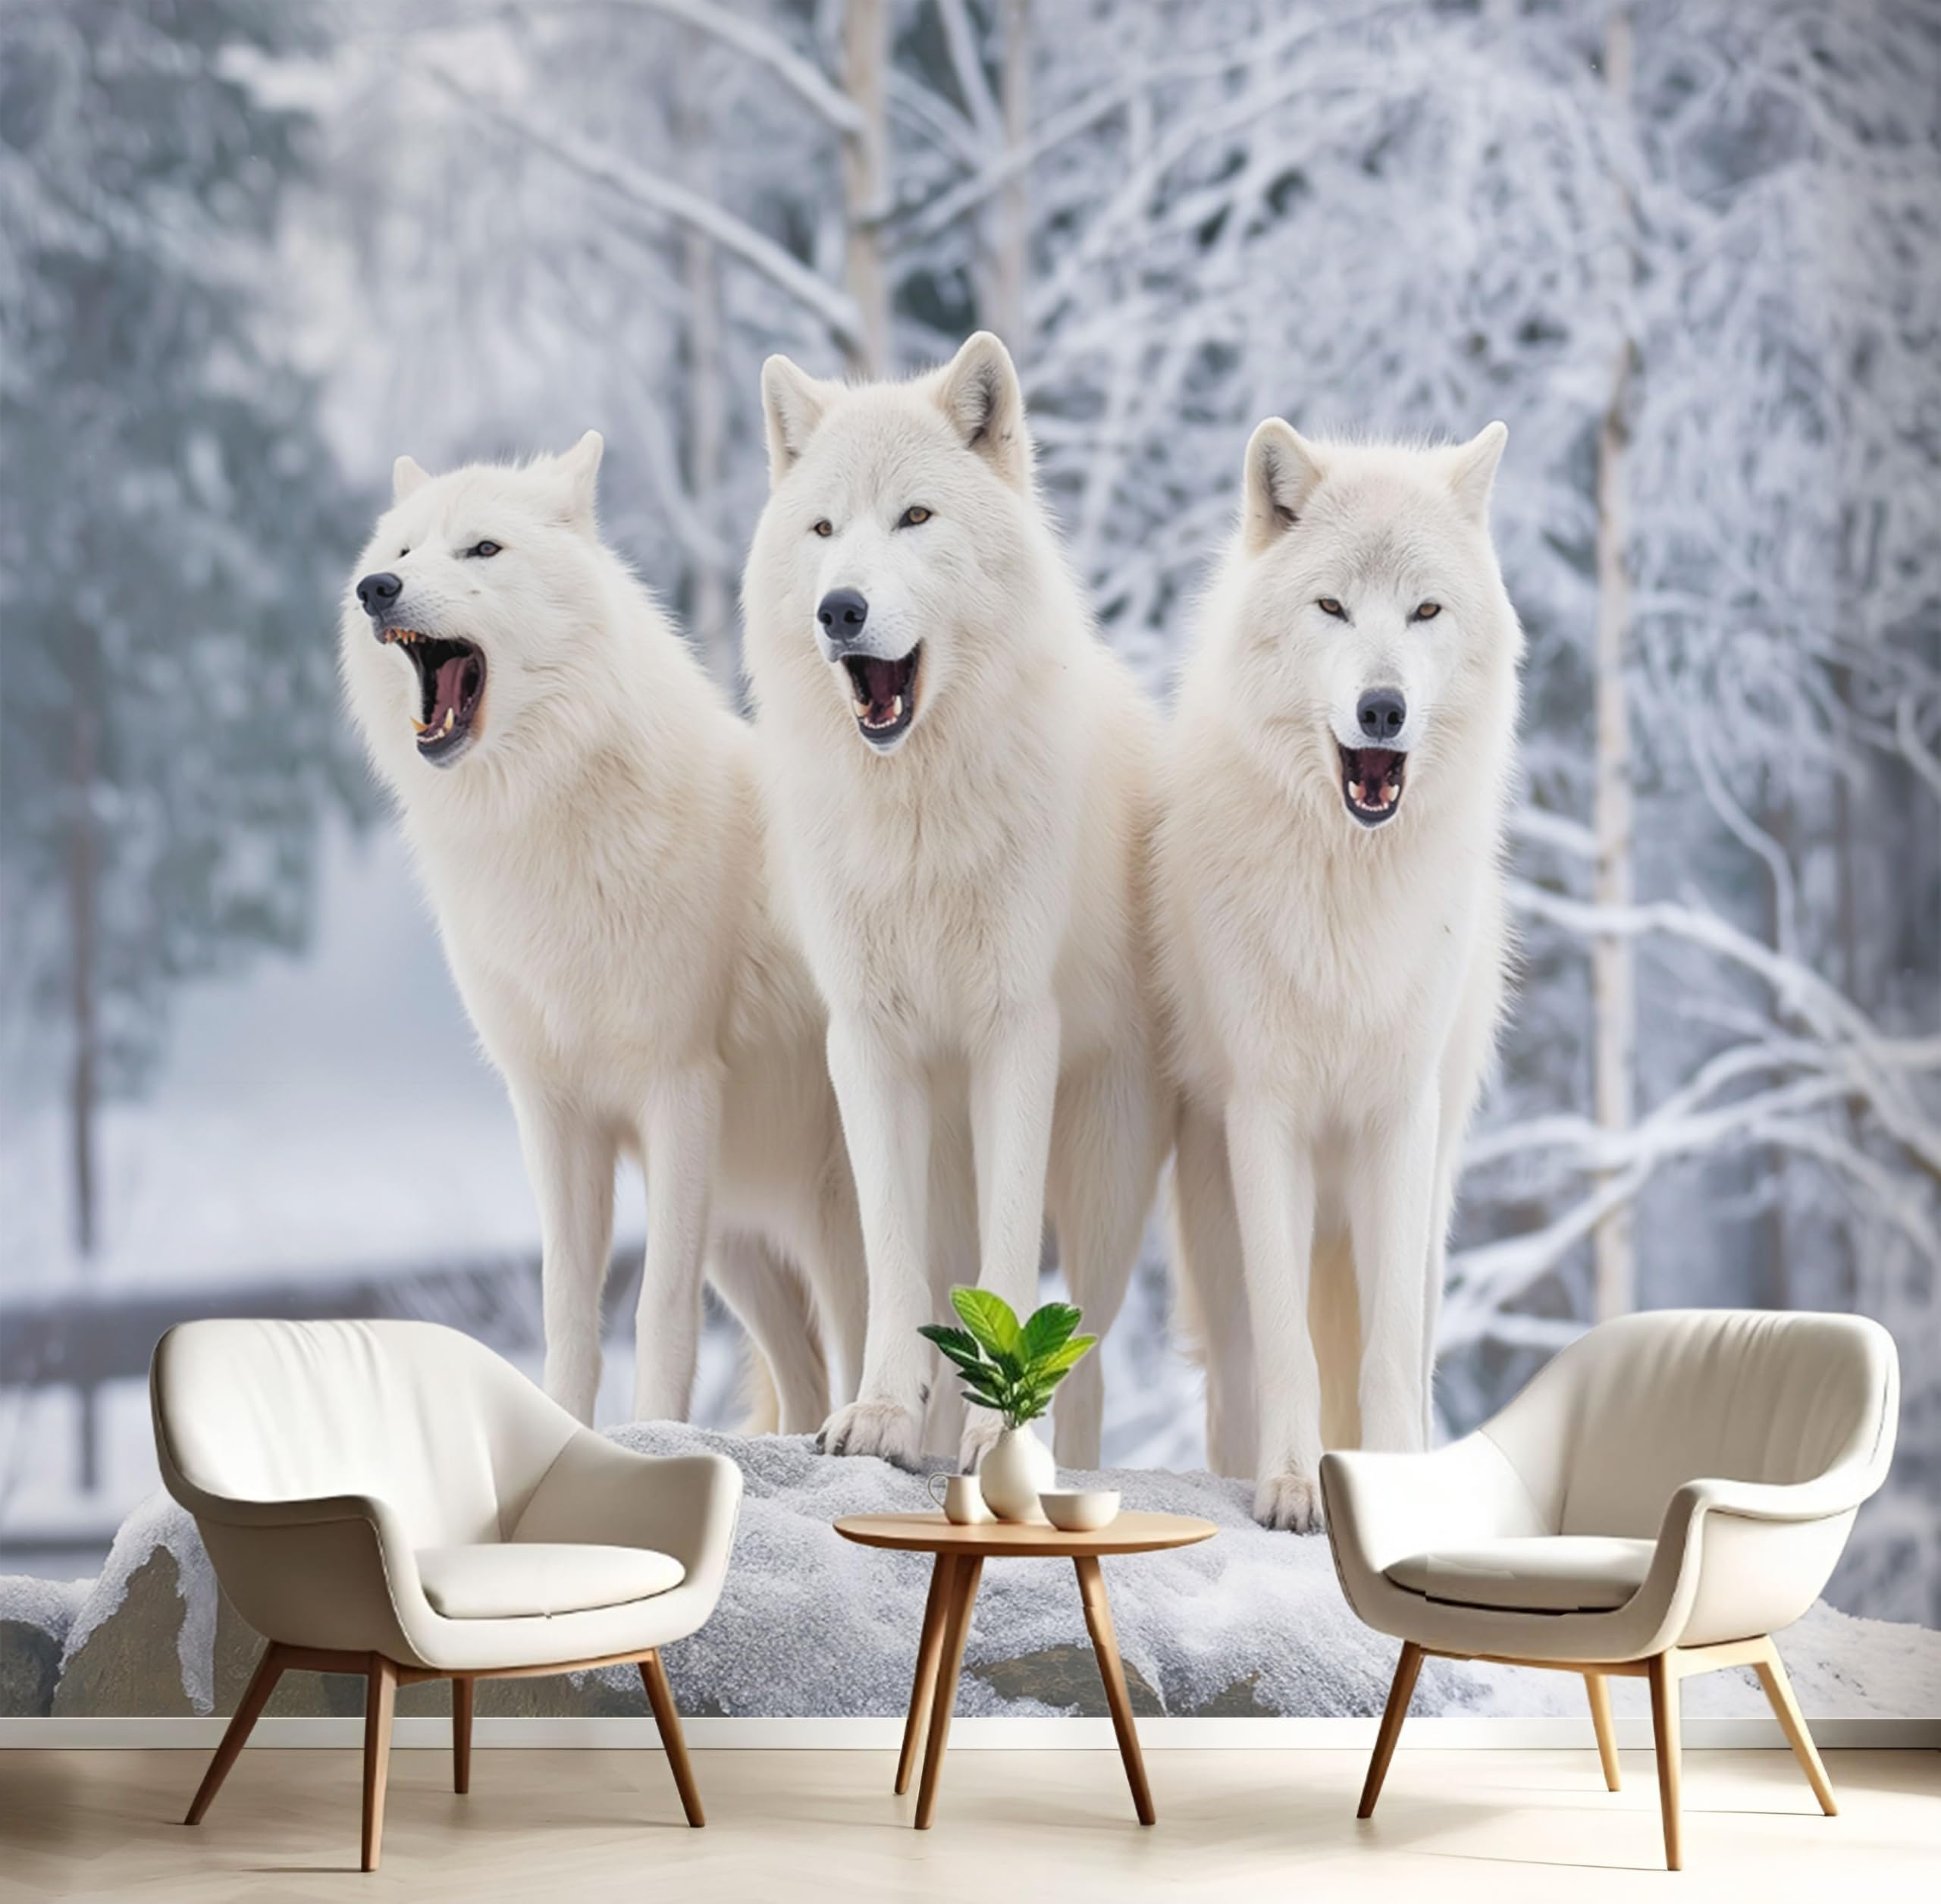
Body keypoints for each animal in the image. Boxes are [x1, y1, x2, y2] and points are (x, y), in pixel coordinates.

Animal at [339, 433, 866, 1432]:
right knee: (809, 1379)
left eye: (483, 550)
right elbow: (566, 1308)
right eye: (400, 553)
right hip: (745, 1236)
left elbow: (658, 1309)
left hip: (833, 1214)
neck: (548, 817)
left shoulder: (677, 1091)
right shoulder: (553, 1113)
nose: (376, 591)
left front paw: (654, 1433)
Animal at [741, 333, 1172, 1471]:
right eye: (824, 529)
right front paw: (880, 1415)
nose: (839, 608)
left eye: (915, 518)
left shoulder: (1014, 1031)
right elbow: (894, 1272)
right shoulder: (867, 1044)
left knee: (1092, 1363)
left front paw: (999, 1436)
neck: (918, 818)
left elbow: (1014, 1257)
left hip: (1106, 1179)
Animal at [1157, 419, 1521, 1531]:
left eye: (1424, 610)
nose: (1382, 707)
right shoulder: (1265, 1113)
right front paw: (1289, 1484)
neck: (1345, 888)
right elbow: (1290, 1350)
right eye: (1331, 608)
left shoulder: (1398, 1119)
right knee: (1236, 1381)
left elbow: (1389, 1353)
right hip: (1217, 1238)